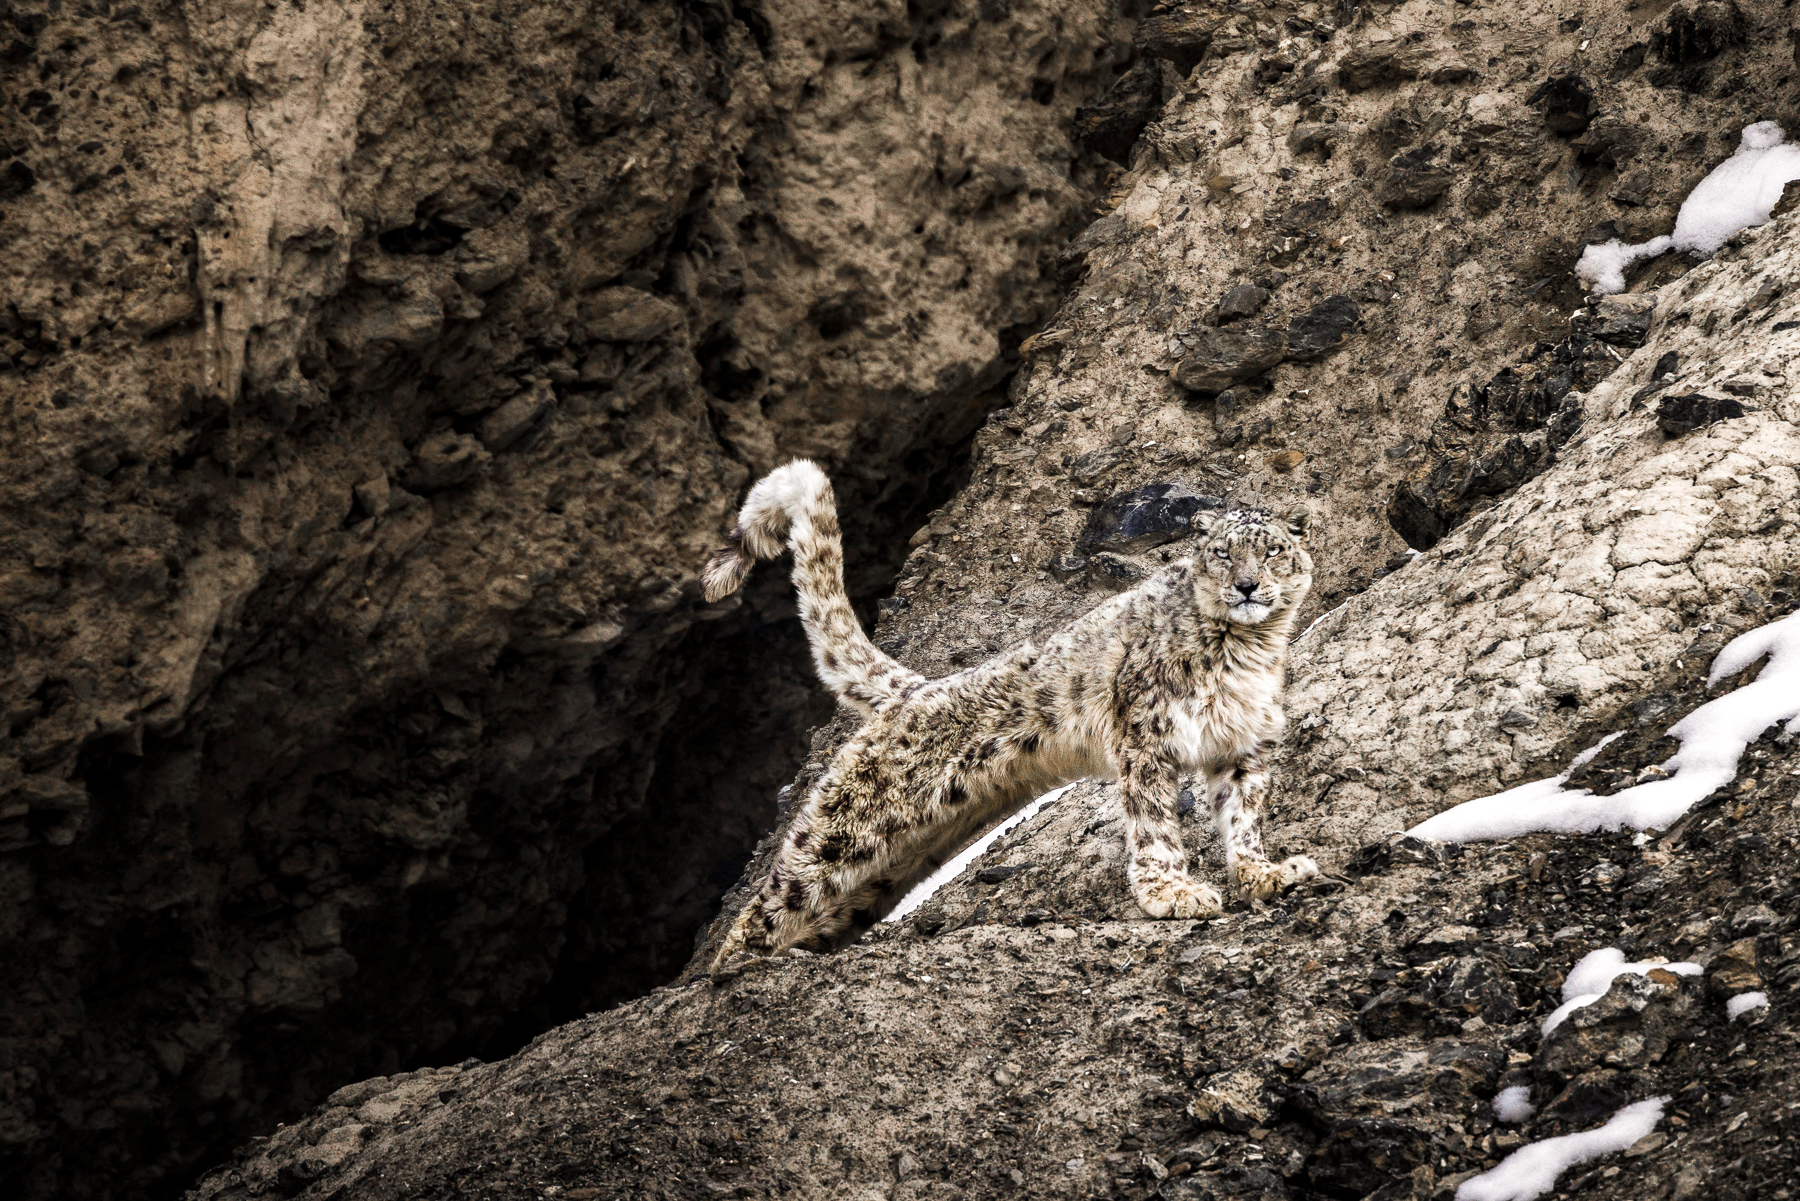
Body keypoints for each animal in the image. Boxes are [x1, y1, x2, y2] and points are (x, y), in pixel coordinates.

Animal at [701, 460, 1320, 967]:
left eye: (1272, 550)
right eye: (1223, 552)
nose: (1247, 584)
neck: (1248, 651)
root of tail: (915, 690)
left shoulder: (1244, 748)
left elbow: (1243, 819)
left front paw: (1265, 874)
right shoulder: (1146, 740)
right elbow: (1154, 826)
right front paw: (1173, 893)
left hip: (907, 853)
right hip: (850, 826)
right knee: (780, 890)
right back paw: (730, 971)